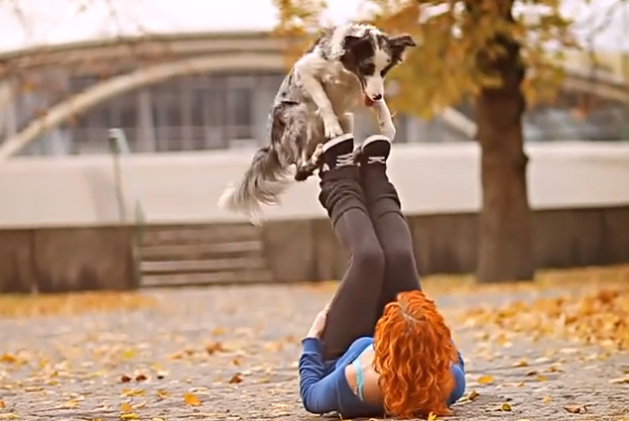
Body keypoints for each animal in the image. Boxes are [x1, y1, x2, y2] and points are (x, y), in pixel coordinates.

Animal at [218, 22, 414, 223]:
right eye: (367, 67)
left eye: (384, 71)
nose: (377, 95)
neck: (347, 71)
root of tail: (273, 145)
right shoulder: (306, 71)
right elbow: (324, 101)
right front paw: (332, 127)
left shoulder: (363, 91)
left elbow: (380, 105)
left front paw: (387, 126)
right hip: (299, 114)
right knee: (300, 170)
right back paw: (318, 155)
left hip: (346, 119)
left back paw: (353, 152)